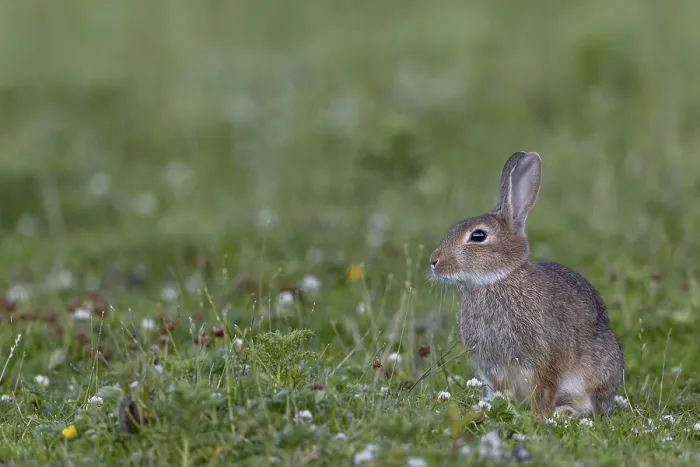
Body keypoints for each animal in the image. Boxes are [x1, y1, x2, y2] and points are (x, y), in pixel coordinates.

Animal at [429, 151, 624, 417]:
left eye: (478, 236)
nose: (433, 261)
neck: (498, 279)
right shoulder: (492, 369)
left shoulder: (542, 360)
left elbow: (544, 389)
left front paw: (538, 417)